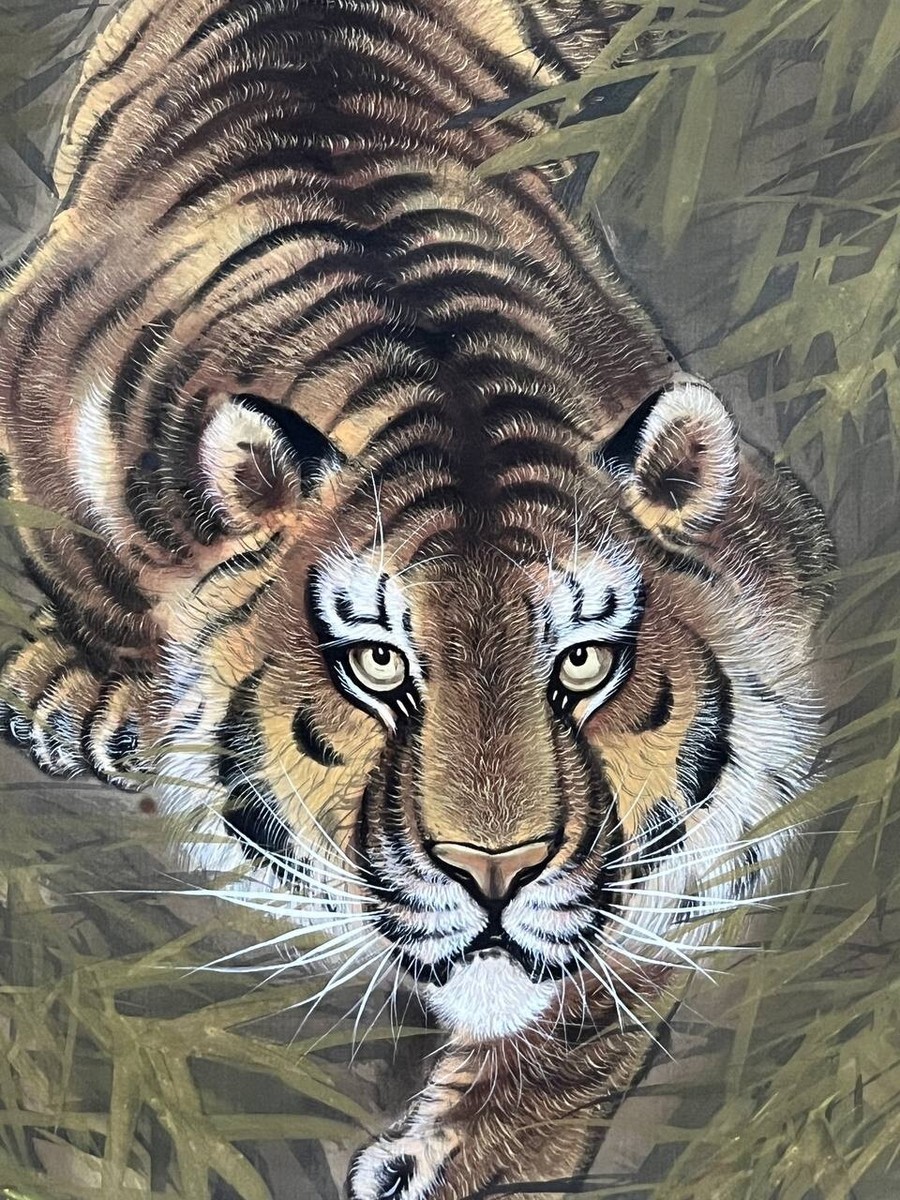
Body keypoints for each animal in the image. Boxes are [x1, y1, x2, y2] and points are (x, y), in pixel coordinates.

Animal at [0, 0, 832, 1197]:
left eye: (584, 661)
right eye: (378, 662)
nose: (496, 874)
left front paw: (475, 1150)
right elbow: (85, 568)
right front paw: (94, 691)